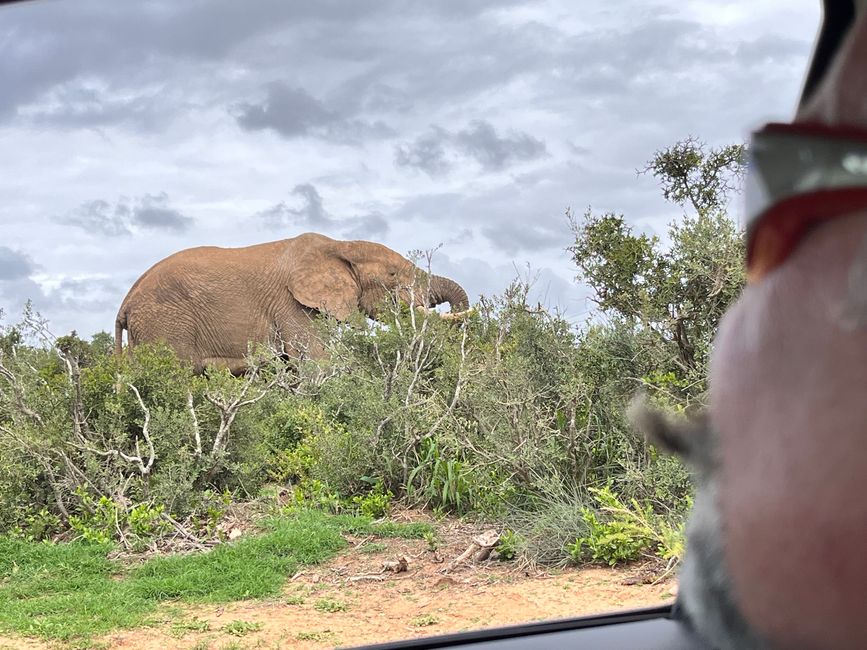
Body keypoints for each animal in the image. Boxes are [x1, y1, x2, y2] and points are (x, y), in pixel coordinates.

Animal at [115, 233, 472, 374]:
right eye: (394, 275)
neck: (340, 245)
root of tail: (125, 304)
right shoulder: (291, 305)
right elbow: (316, 361)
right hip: (165, 324)